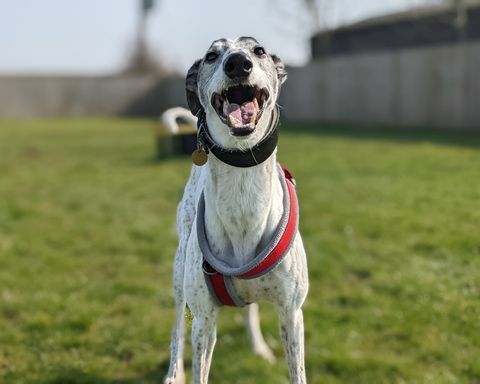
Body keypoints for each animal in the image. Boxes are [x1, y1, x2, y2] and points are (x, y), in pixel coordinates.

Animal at [164, 36, 308, 384]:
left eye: (259, 51)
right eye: (211, 56)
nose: (238, 64)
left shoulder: (291, 312)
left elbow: (297, 371)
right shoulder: (203, 319)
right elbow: (197, 361)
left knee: (249, 309)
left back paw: (259, 348)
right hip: (179, 274)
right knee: (176, 325)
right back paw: (174, 372)